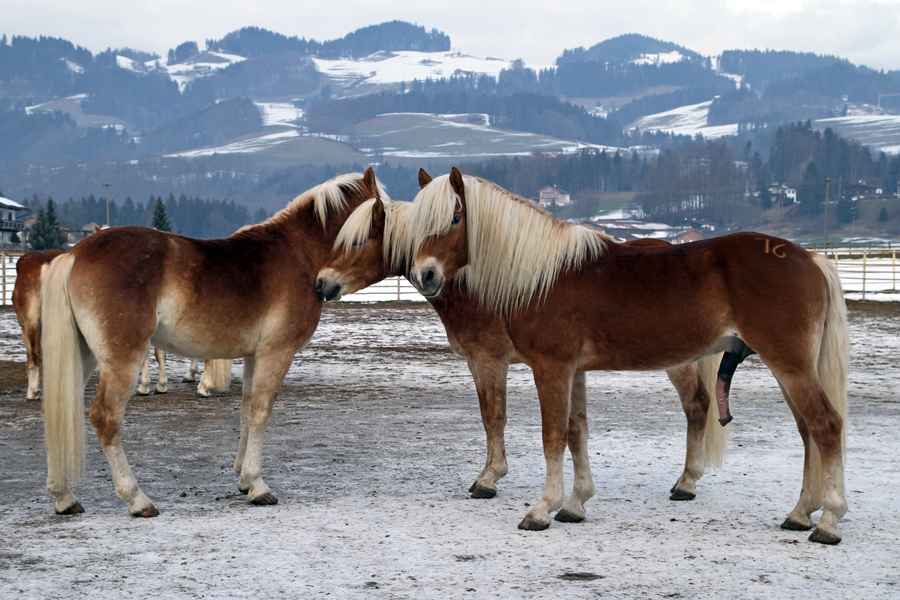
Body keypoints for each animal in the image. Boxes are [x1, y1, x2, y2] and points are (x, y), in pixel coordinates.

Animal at [41, 169, 384, 516]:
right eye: (376, 222)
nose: (327, 285)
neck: (299, 252)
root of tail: (74, 253)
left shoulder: (253, 356)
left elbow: (246, 411)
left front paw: (244, 478)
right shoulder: (277, 353)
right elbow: (261, 412)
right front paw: (258, 486)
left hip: (84, 356)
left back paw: (64, 496)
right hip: (122, 358)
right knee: (105, 418)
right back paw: (136, 498)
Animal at [312, 170, 728, 520]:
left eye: (358, 240)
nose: (321, 283)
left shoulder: (490, 360)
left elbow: (493, 416)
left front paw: (489, 479)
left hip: (677, 360)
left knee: (697, 405)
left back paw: (687, 483)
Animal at [408, 168, 852, 544]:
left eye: (455, 218)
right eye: (417, 222)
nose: (425, 275)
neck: (542, 275)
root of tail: (811, 258)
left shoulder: (551, 366)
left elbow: (552, 435)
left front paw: (542, 509)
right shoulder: (575, 371)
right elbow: (577, 431)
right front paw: (575, 504)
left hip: (789, 365)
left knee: (826, 426)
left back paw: (828, 522)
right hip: (790, 368)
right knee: (808, 430)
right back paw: (801, 512)